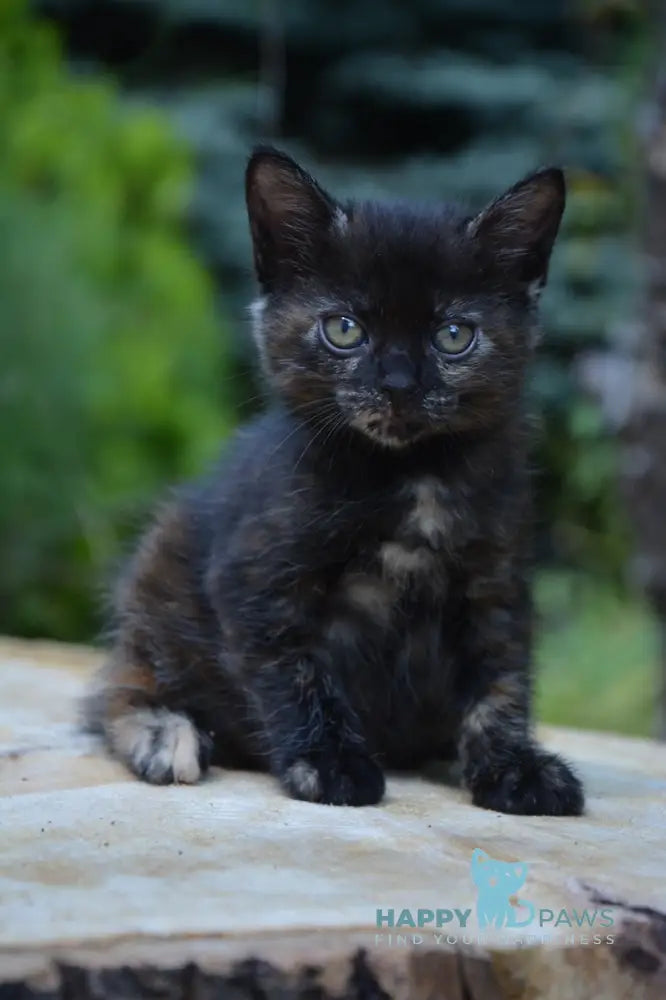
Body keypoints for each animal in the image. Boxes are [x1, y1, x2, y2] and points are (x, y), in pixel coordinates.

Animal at [85, 150, 584, 820]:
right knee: (116, 691)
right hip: (156, 578)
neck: (410, 476)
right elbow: (298, 675)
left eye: (454, 336)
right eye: (344, 329)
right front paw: (329, 764)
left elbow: (502, 681)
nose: (398, 384)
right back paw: (165, 736)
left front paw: (513, 766)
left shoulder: (496, 583)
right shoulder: (257, 579)